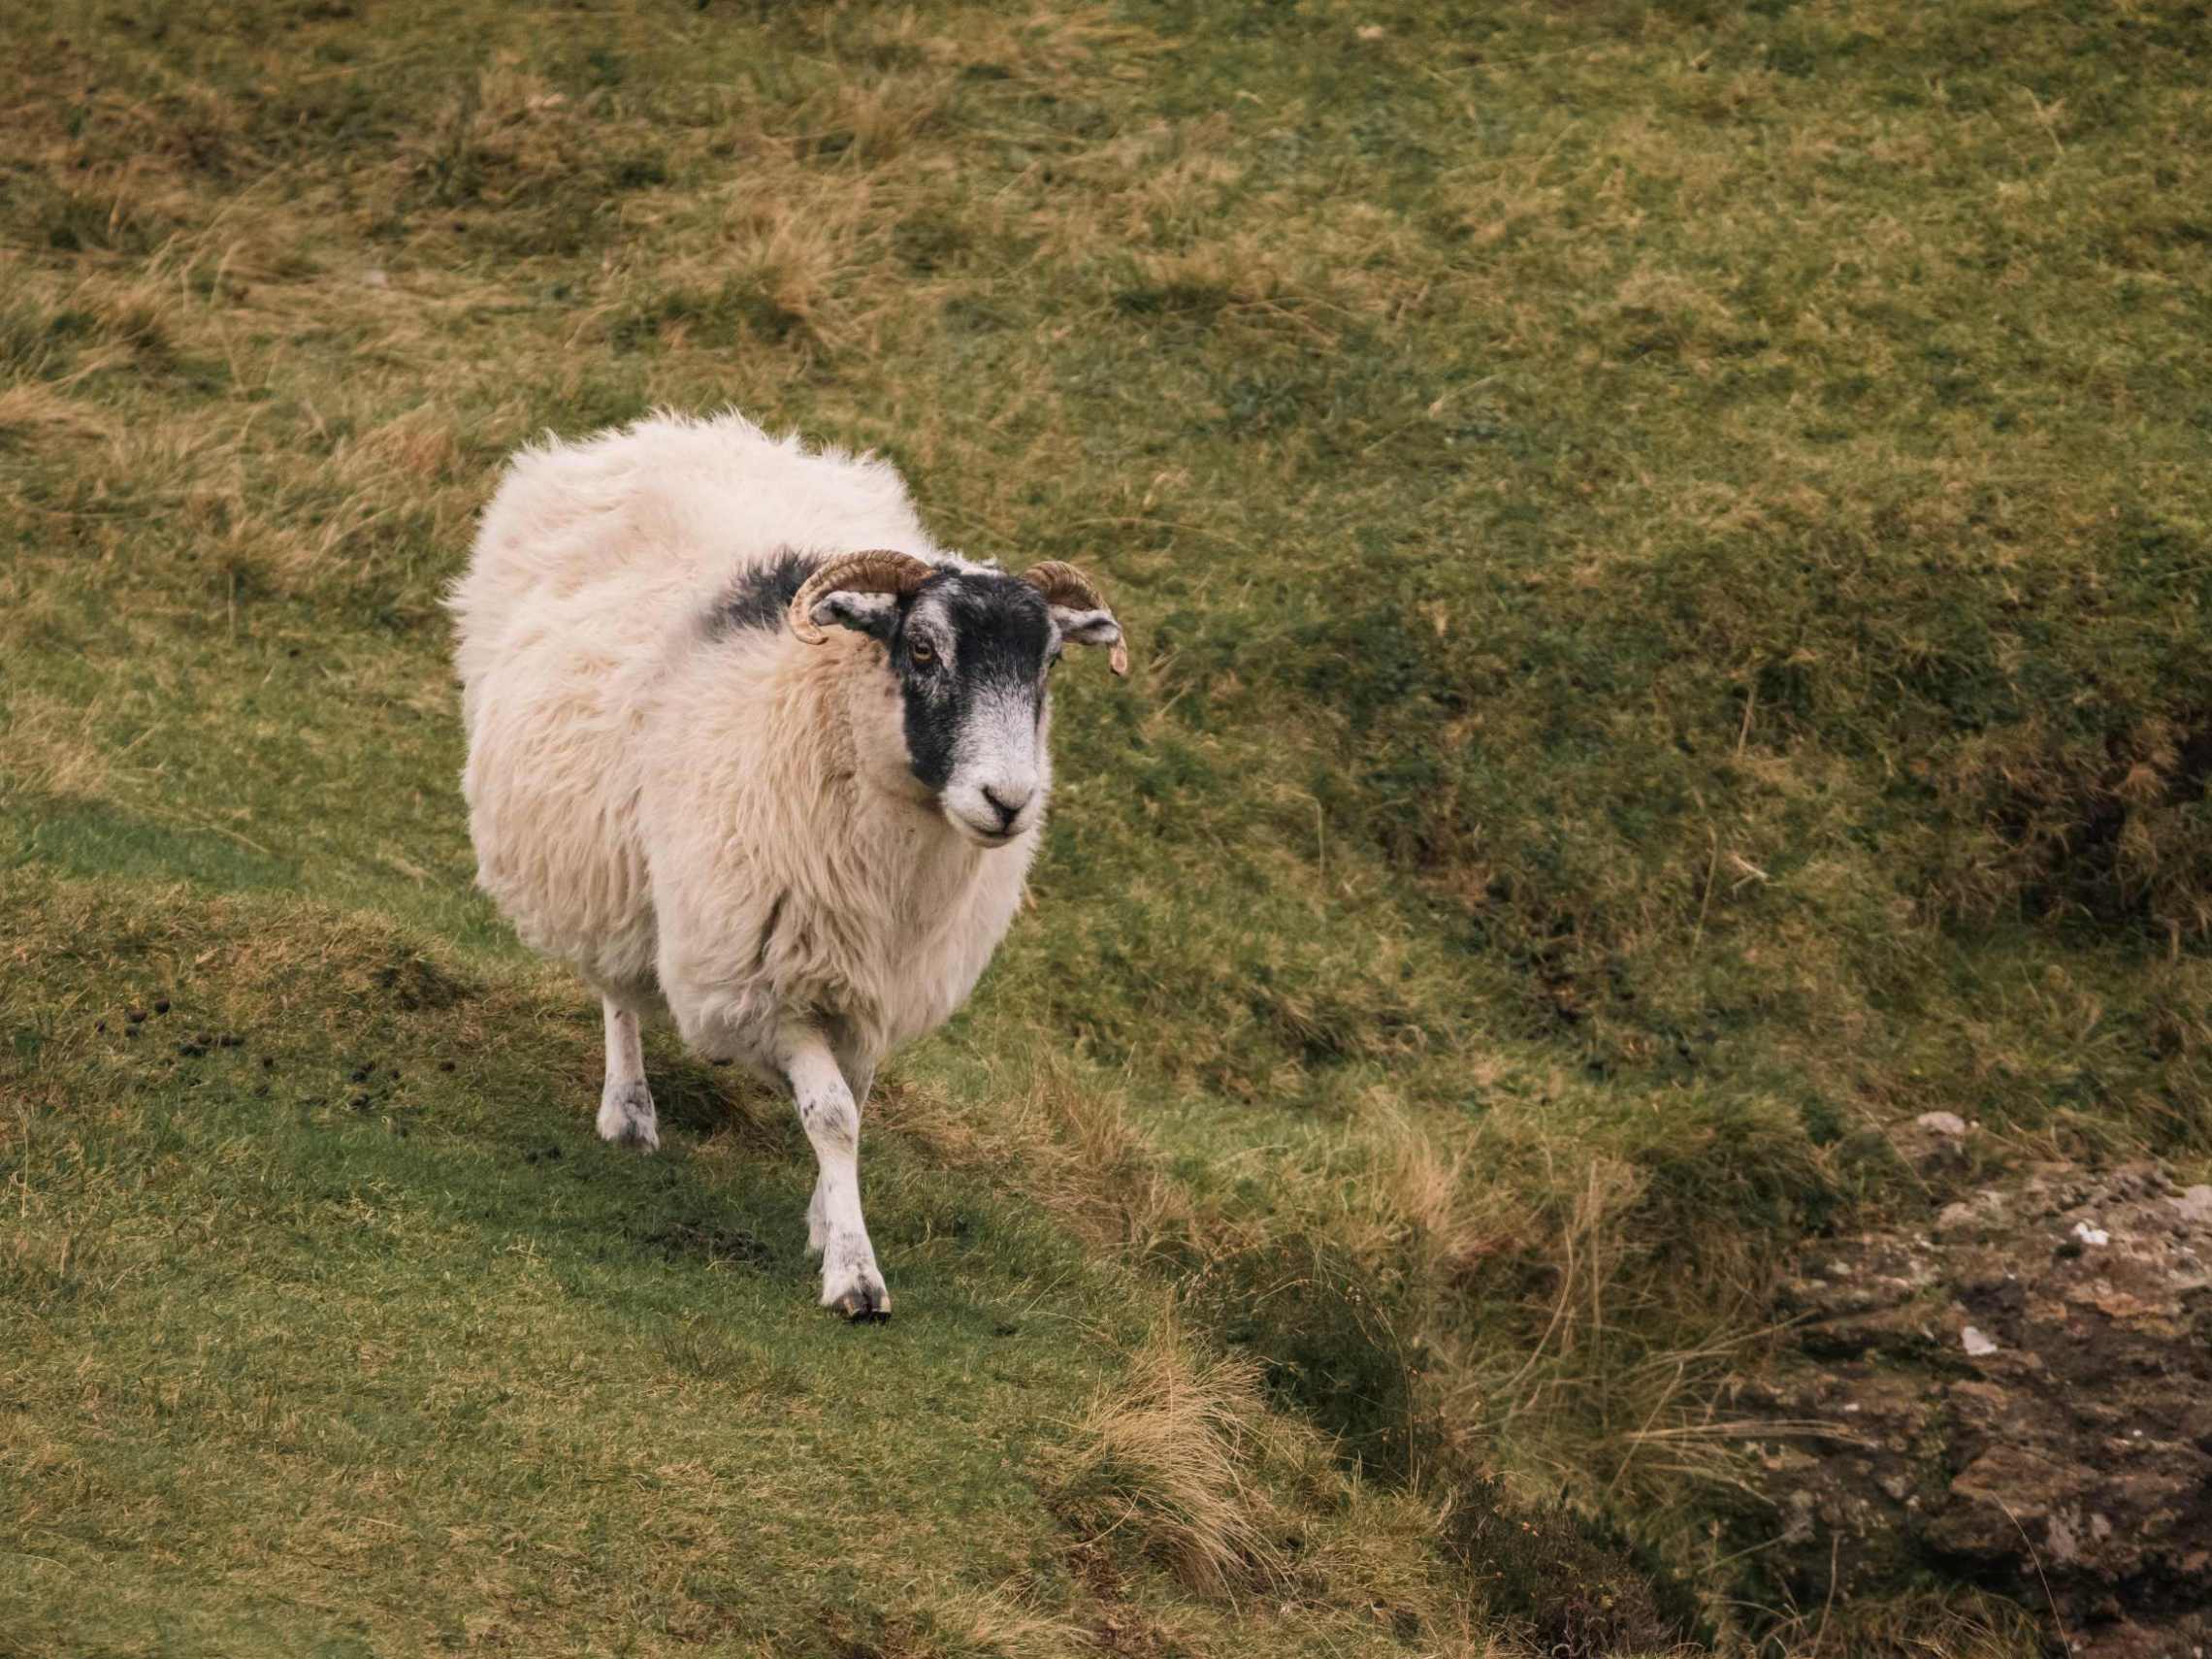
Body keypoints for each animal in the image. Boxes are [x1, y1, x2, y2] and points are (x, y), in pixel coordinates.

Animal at [449, 411, 1127, 1320]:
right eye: (921, 649)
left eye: (1049, 663)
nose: (1009, 800)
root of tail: (669, 431)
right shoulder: (770, 979)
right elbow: (833, 1112)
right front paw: (853, 1272)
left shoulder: (877, 982)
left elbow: (857, 1103)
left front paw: (825, 1217)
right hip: (604, 854)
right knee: (618, 983)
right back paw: (628, 1111)